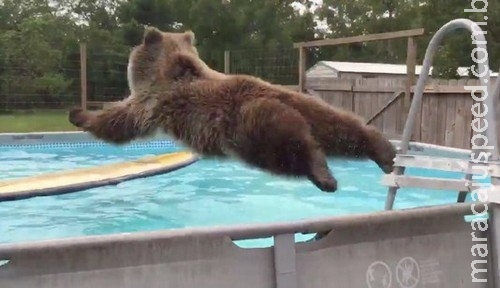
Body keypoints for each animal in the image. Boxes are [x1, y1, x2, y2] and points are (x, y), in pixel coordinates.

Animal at [68, 27, 396, 194]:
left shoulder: (153, 101)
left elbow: (120, 121)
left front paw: (79, 114)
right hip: (310, 107)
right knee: (344, 129)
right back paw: (384, 153)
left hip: (251, 128)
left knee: (292, 149)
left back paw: (324, 177)